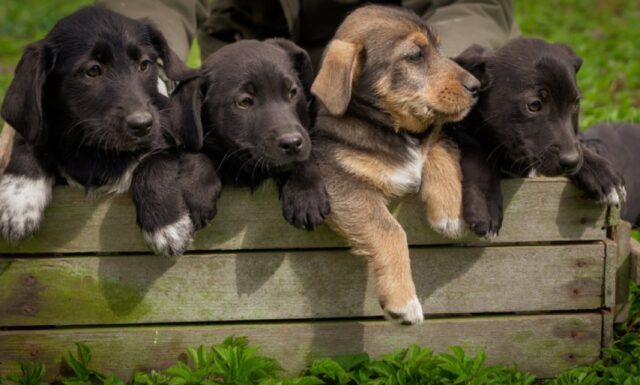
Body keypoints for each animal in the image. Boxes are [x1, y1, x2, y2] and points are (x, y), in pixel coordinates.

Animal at [0, 6, 219, 255]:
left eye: (145, 65)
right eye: (93, 71)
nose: (143, 124)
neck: (96, 151)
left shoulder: (167, 141)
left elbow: (152, 162)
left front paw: (167, 225)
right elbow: (29, 142)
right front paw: (18, 203)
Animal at [175, 39, 330, 230]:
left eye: (293, 92)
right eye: (245, 102)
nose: (293, 143)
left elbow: (306, 154)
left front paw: (306, 193)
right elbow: (197, 149)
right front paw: (197, 190)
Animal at [310, 6, 480, 324]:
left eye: (439, 48)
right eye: (414, 56)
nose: (477, 87)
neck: (391, 129)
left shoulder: (433, 137)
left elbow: (438, 148)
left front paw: (449, 213)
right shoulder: (338, 181)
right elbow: (390, 229)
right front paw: (404, 301)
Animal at [444, 39, 624, 237]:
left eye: (575, 103)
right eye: (534, 105)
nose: (571, 161)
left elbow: (578, 144)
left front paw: (601, 173)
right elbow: (477, 153)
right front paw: (485, 203)